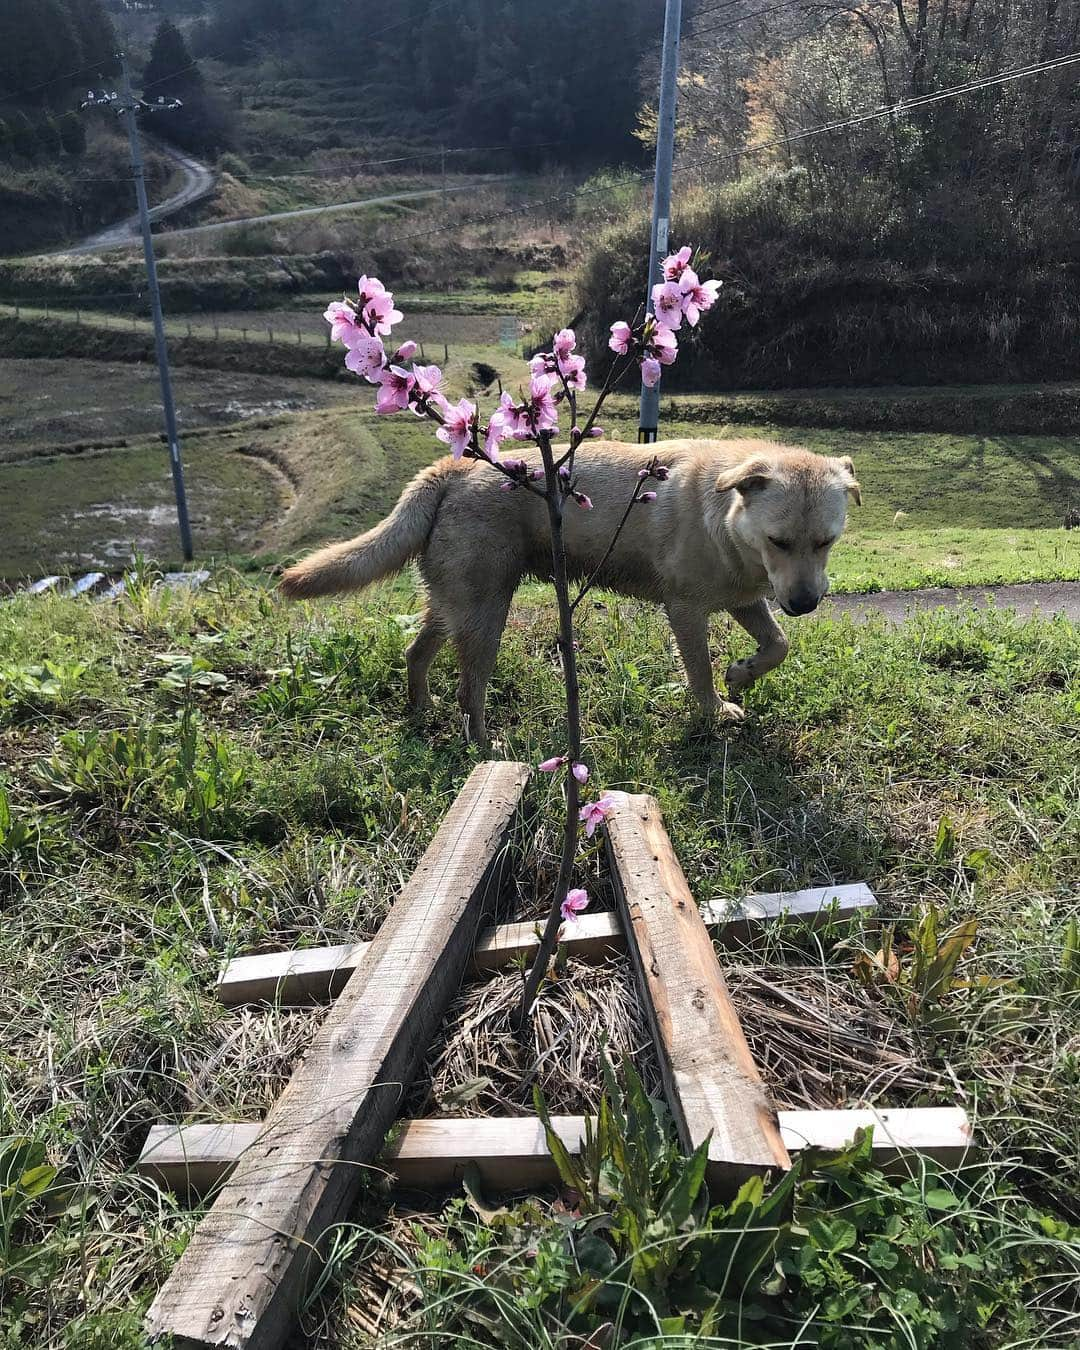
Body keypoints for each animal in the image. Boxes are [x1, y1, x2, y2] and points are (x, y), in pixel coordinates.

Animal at [280, 440, 858, 739]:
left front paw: (742, 672)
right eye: (779, 540)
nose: (805, 604)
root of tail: (453, 466)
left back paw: (423, 709)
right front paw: (715, 709)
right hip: (486, 611)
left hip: (453, 604)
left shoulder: (746, 597)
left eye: (827, 541)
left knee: (416, 653)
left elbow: (779, 645)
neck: (726, 518)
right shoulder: (686, 609)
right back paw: (485, 752)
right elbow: (698, 670)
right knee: (470, 691)